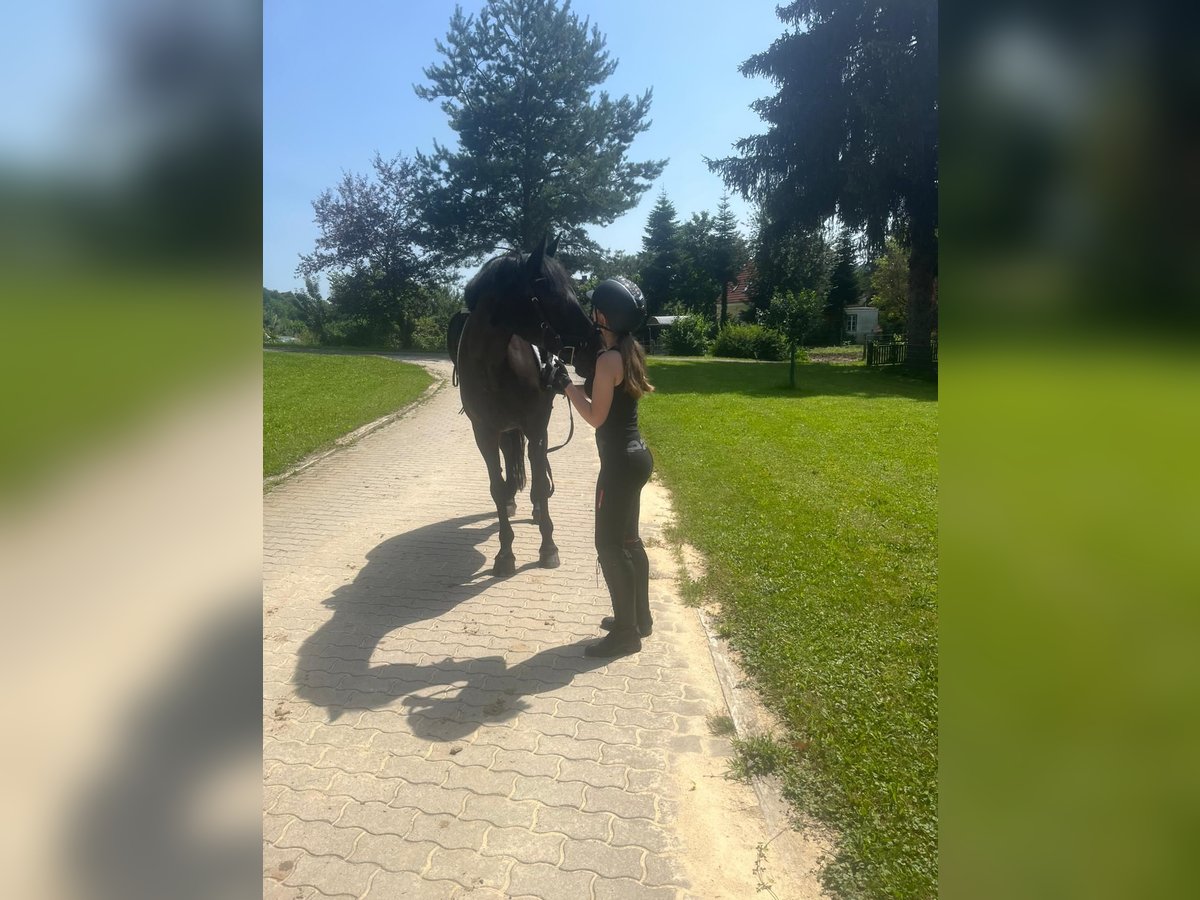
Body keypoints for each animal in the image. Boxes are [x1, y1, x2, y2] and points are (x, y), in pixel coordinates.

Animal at [448, 236, 597, 578]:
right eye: (548, 291)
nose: (594, 345)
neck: (493, 365)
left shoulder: (536, 425)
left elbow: (541, 481)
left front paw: (548, 548)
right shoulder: (484, 434)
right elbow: (496, 487)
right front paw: (505, 553)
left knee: (536, 464)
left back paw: (536, 509)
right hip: (505, 430)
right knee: (511, 462)